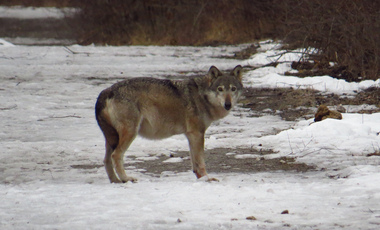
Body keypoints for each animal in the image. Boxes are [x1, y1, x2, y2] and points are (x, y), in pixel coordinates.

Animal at [95, 65, 243, 183]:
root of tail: (107, 90)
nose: (228, 104)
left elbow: (194, 163)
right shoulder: (197, 134)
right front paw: (207, 179)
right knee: (116, 156)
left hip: (112, 138)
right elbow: (200, 162)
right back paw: (126, 179)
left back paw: (115, 181)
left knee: (106, 160)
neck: (203, 97)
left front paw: (201, 179)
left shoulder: (191, 135)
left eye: (233, 89)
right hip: (130, 133)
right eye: (220, 89)